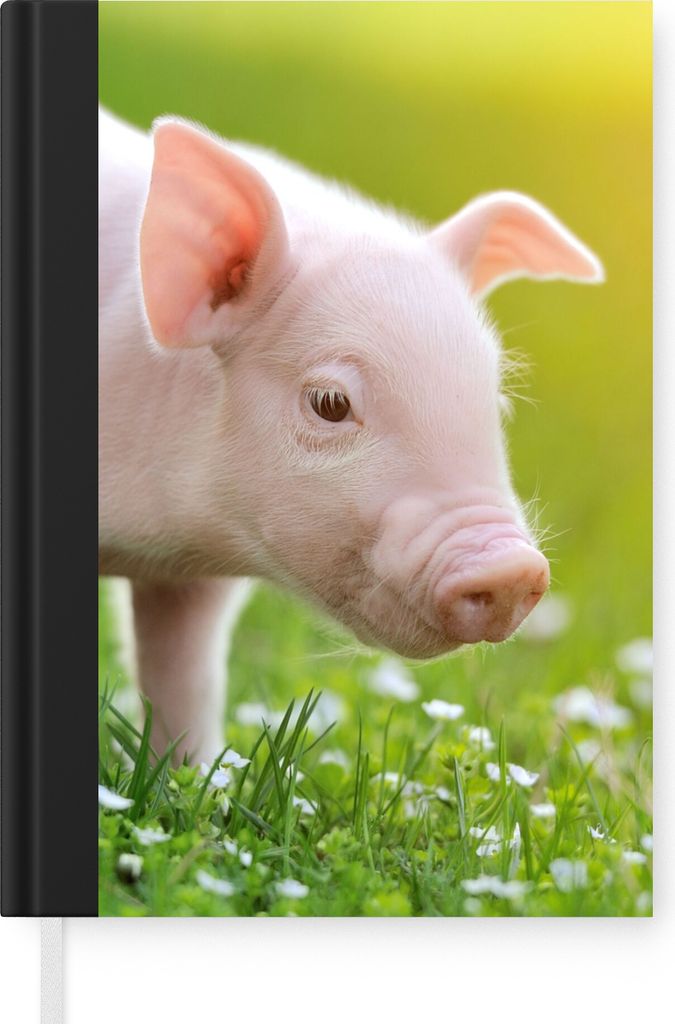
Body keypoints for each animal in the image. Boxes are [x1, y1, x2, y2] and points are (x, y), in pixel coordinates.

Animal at [99, 108, 603, 763]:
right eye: (331, 404)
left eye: (494, 401)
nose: (510, 569)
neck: (144, 538)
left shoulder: (188, 584)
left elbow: (186, 680)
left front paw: (194, 772)